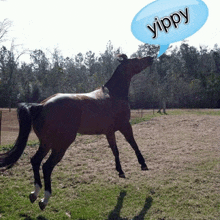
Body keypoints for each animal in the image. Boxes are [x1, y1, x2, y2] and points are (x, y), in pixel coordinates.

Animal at [0, 53, 154, 210]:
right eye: (135, 59)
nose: (151, 58)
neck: (113, 95)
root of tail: (41, 106)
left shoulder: (109, 132)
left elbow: (115, 150)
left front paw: (120, 171)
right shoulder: (125, 126)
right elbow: (133, 144)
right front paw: (143, 164)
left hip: (46, 143)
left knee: (35, 161)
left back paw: (35, 194)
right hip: (61, 144)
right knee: (47, 166)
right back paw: (45, 200)